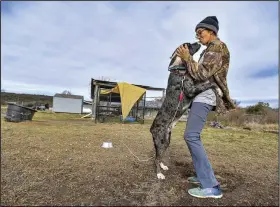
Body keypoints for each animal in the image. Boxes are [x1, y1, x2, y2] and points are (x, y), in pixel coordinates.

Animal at [150, 42, 222, 180]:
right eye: (189, 45)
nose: (198, 42)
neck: (180, 70)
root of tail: (151, 129)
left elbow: (208, 85)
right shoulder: (191, 90)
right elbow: (210, 84)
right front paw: (220, 91)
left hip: (167, 140)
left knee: (160, 155)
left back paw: (163, 166)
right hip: (160, 140)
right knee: (156, 157)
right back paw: (159, 174)